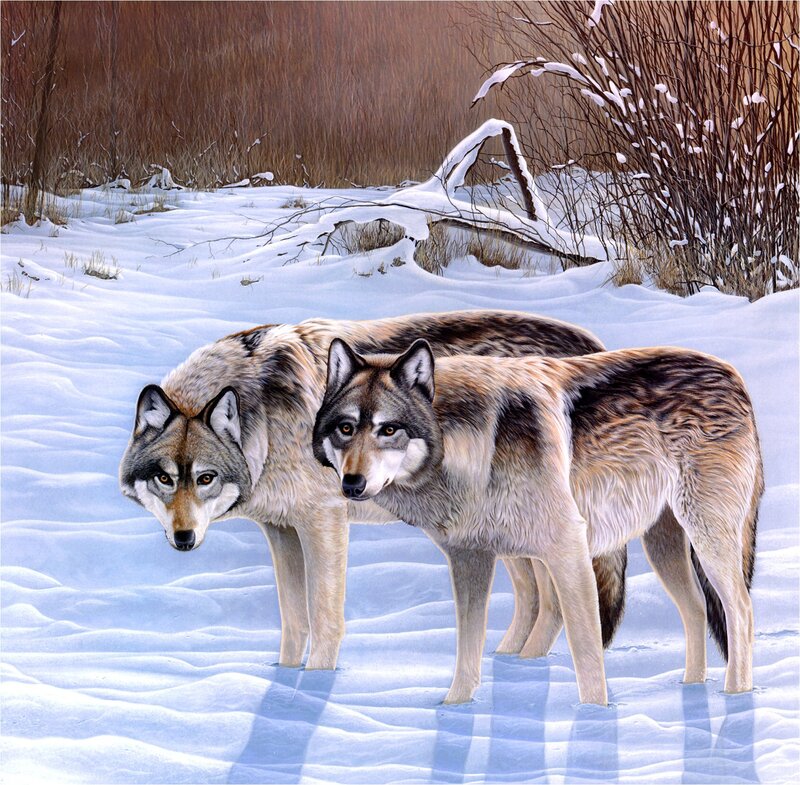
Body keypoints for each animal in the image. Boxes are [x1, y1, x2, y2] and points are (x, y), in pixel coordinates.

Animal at [312, 338, 763, 705]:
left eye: (388, 430)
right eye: (346, 429)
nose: (351, 484)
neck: (471, 447)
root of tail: (733, 374)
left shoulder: (568, 548)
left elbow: (586, 652)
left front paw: (594, 716)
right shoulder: (471, 558)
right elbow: (468, 650)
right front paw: (453, 709)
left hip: (706, 537)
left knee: (740, 609)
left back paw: (736, 697)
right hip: (663, 545)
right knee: (696, 609)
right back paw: (691, 689)